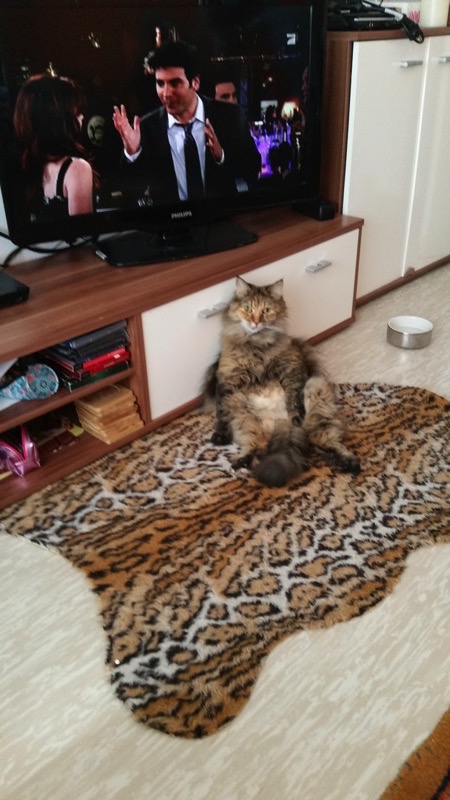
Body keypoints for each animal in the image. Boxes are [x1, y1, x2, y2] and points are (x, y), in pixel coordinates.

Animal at [203, 276, 360, 487]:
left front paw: (297, 415)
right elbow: (221, 413)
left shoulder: (292, 371)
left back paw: (349, 462)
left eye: (266, 310)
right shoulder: (228, 382)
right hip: (242, 413)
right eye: (248, 308)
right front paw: (220, 434)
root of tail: (279, 424)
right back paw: (240, 462)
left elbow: (293, 399)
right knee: (253, 445)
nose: (255, 323)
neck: (257, 344)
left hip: (315, 388)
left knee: (324, 441)